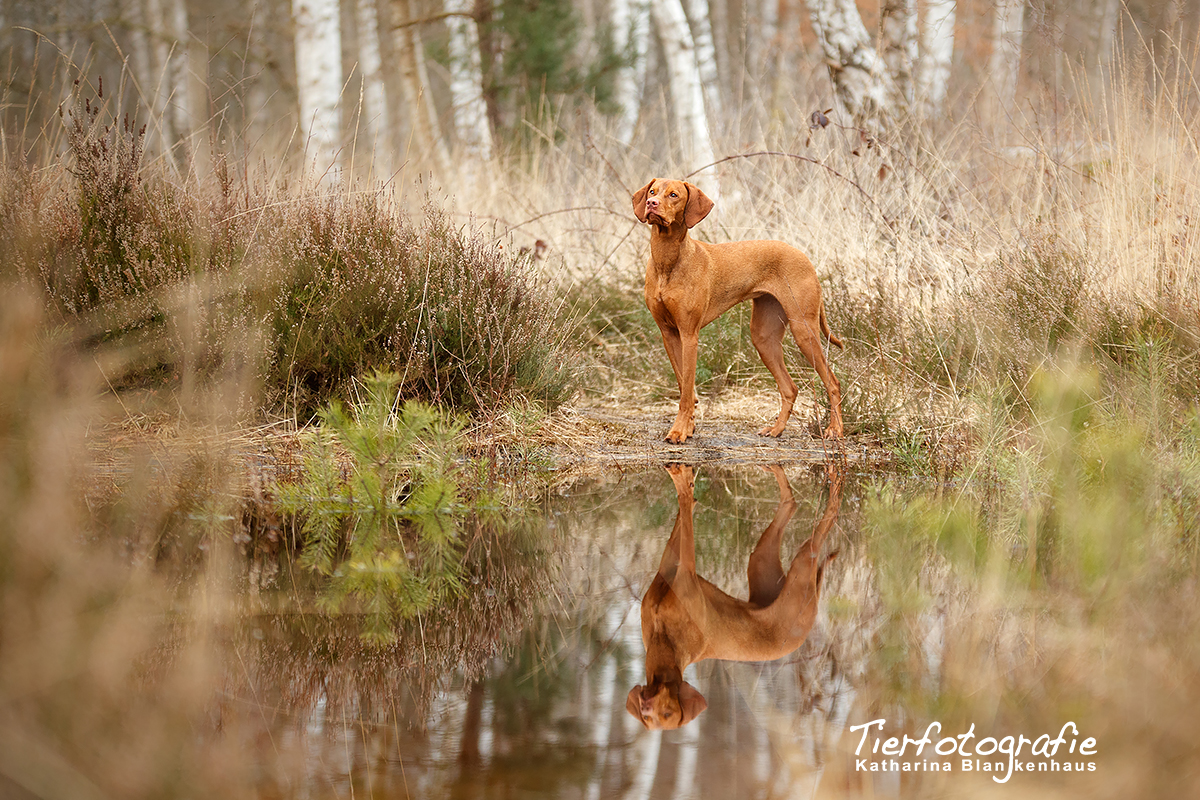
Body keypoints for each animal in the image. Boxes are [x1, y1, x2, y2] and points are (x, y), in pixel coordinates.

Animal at [628, 462, 844, 734]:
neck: (665, 641)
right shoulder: (666, 567)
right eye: (647, 720)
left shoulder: (686, 569)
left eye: (667, 713)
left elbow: (685, 511)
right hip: (760, 561)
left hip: (803, 566)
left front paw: (686, 486)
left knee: (827, 520)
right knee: (790, 503)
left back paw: (834, 484)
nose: (645, 708)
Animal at [633, 179, 849, 443]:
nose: (651, 203)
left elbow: (686, 393)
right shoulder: (669, 333)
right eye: (652, 191)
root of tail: (805, 257)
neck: (668, 259)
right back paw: (776, 429)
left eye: (673, 195)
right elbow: (685, 387)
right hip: (763, 337)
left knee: (833, 382)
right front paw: (689, 426)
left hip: (804, 330)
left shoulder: (689, 335)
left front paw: (679, 431)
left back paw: (835, 430)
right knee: (790, 387)